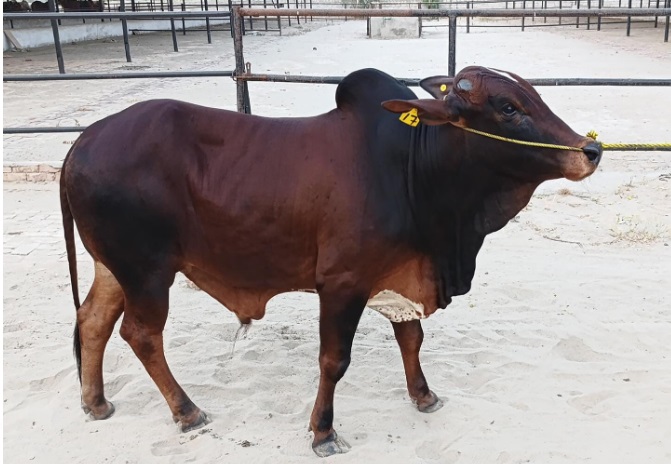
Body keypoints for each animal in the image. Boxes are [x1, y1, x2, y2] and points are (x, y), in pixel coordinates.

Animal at [60, 66, 602, 457]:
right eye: (508, 107)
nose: (591, 149)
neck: (413, 169)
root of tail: (83, 142)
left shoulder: (399, 273)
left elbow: (411, 339)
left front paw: (423, 396)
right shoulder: (342, 283)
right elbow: (333, 360)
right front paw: (322, 433)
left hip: (114, 267)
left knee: (93, 321)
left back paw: (95, 402)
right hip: (148, 270)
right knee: (141, 335)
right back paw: (187, 411)